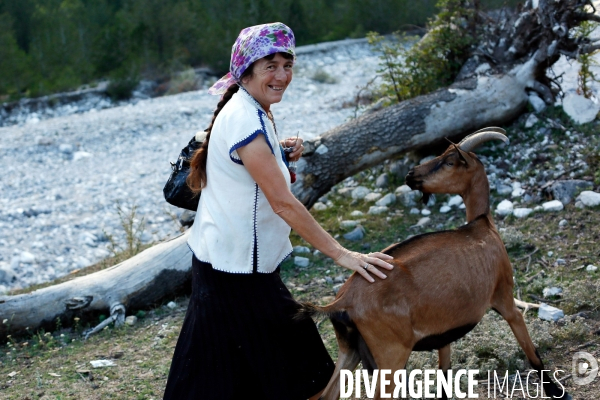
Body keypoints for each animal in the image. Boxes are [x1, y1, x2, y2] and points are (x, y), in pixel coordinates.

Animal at [304, 129, 572, 400]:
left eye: (449, 161)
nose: (411, 175)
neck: (481, 226)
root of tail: (341, 303)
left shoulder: (444, 332)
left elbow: (444, 372)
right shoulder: (505, 297)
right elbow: (531, 350)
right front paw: (557, 391)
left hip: (350, 349)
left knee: (324, 395)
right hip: (391, 353)